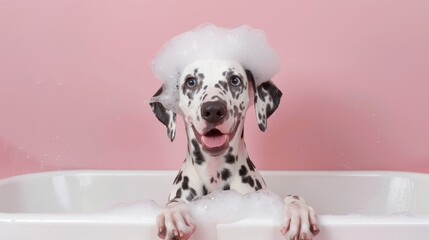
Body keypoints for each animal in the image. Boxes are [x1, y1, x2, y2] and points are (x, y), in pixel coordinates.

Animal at [150, 58, 318, 240]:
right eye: (191, 82)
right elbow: (174, 203)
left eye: (234, 80)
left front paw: (298, 211)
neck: (215, 173)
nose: (213, 110)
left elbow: (292, 197)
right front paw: (173, 213)